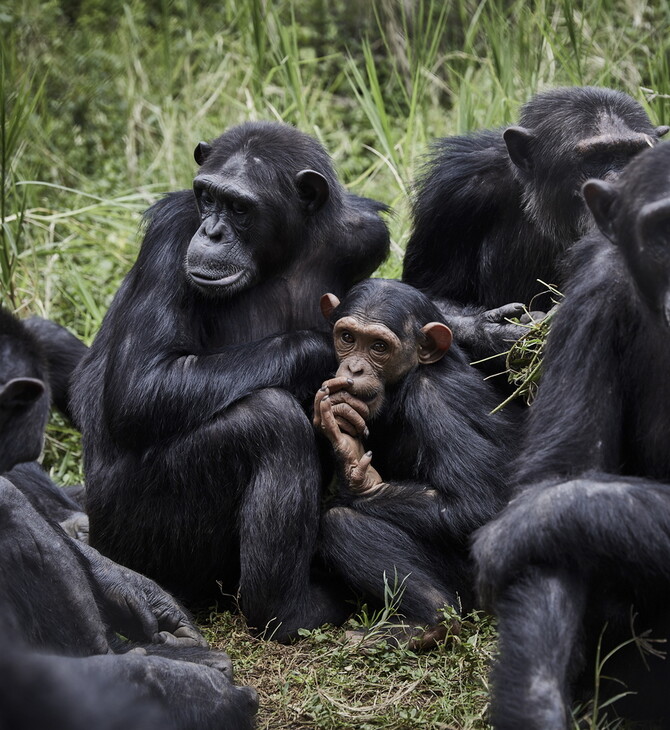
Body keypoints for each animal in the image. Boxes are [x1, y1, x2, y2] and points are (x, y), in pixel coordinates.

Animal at [316, 278, 520, 644]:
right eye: (348, 338)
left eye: (379, 347)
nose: (354, 368)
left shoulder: (435, 402)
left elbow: (477, 504)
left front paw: (358, 475)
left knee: (342, 522)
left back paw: (429, 620)